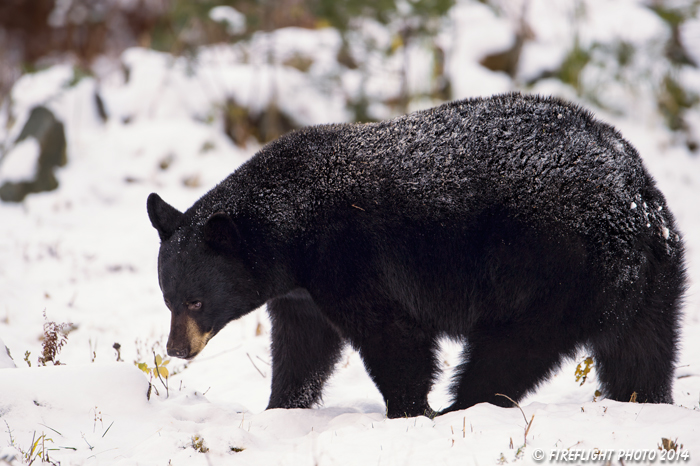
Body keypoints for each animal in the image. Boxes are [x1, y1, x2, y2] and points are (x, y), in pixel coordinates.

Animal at [148, 93, 684, 416]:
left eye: (196, 301)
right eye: (168, 300)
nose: (176, 349)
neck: (294, 223)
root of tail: (636, 201)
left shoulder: (351, 256)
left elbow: (393, 334)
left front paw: (410, 410)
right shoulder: (301, 291)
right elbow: (303, 347)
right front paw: (282, 407)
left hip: (549, 270)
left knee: (510, 351)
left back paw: (461, 408)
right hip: (650, 283)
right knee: (642, 353)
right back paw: (647, 402)